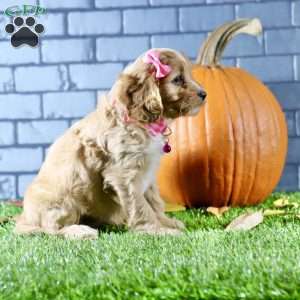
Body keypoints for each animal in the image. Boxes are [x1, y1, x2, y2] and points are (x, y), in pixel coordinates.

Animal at [15, 48, 206, 238]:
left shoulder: (147, 173)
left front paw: (166, 222)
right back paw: (80, 231)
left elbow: (154, 201)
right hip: (64, 200)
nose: (204, 94)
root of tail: (25, 220)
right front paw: (157, 230)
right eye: (178, 79)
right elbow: (140, 206)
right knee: (50, 229)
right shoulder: (124, 175)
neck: (139, 121)